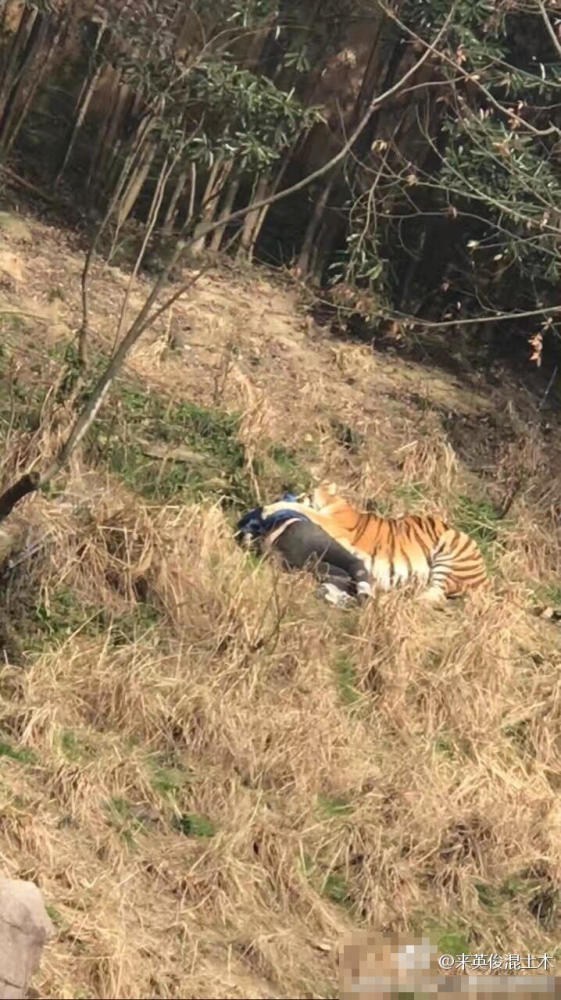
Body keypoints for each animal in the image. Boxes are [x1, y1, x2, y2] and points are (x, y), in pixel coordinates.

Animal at [260, 482, 488, 600]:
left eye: (306, 493)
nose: (291, 494)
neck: (337, 505)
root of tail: (485, 580)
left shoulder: (331, 524)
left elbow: (302, 509)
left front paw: (268, 508)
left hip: (452, 546)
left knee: (436, 595)